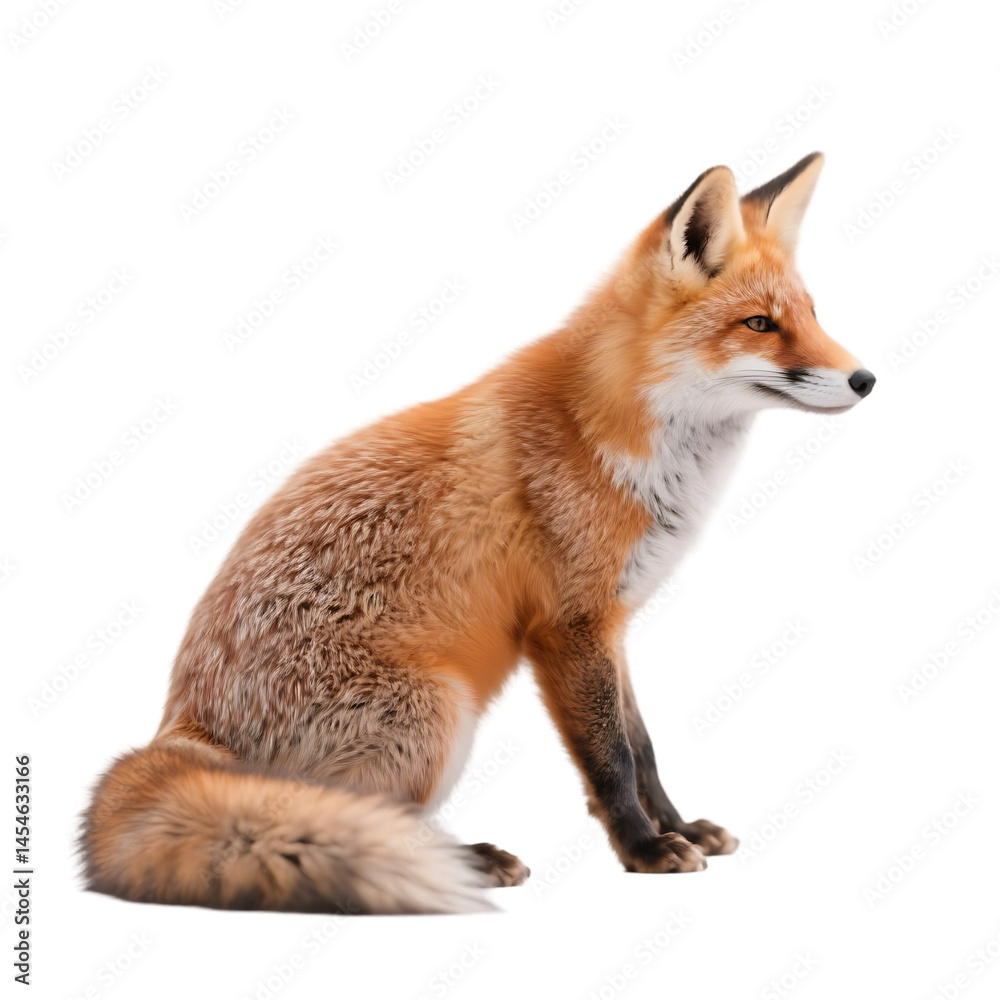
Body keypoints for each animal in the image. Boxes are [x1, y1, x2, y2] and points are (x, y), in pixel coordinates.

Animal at [81, 152, 875, 915]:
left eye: (812, 314)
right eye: (760, 324)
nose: (866, 379)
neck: (618, 436)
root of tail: (184, 729)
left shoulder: (611, 621)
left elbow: (643, 746)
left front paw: (677, 828)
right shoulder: (566, 627)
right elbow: (612, 758)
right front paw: (644, 850)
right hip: (436, 713)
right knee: (355, 822)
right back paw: (461, 863)